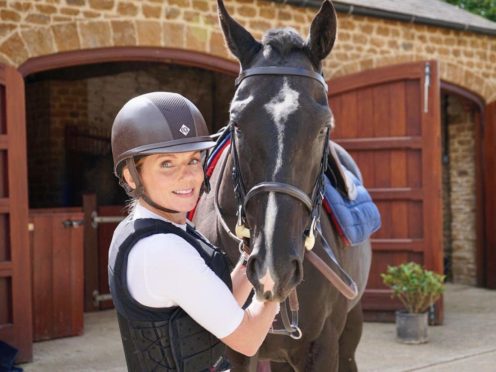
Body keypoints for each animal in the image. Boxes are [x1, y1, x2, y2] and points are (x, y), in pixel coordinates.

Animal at [194, 1, 372, 370]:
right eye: (236, 123)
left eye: (324, 127)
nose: (272, 268)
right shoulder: (238, 351)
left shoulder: (324, 347)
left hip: (350, 330)